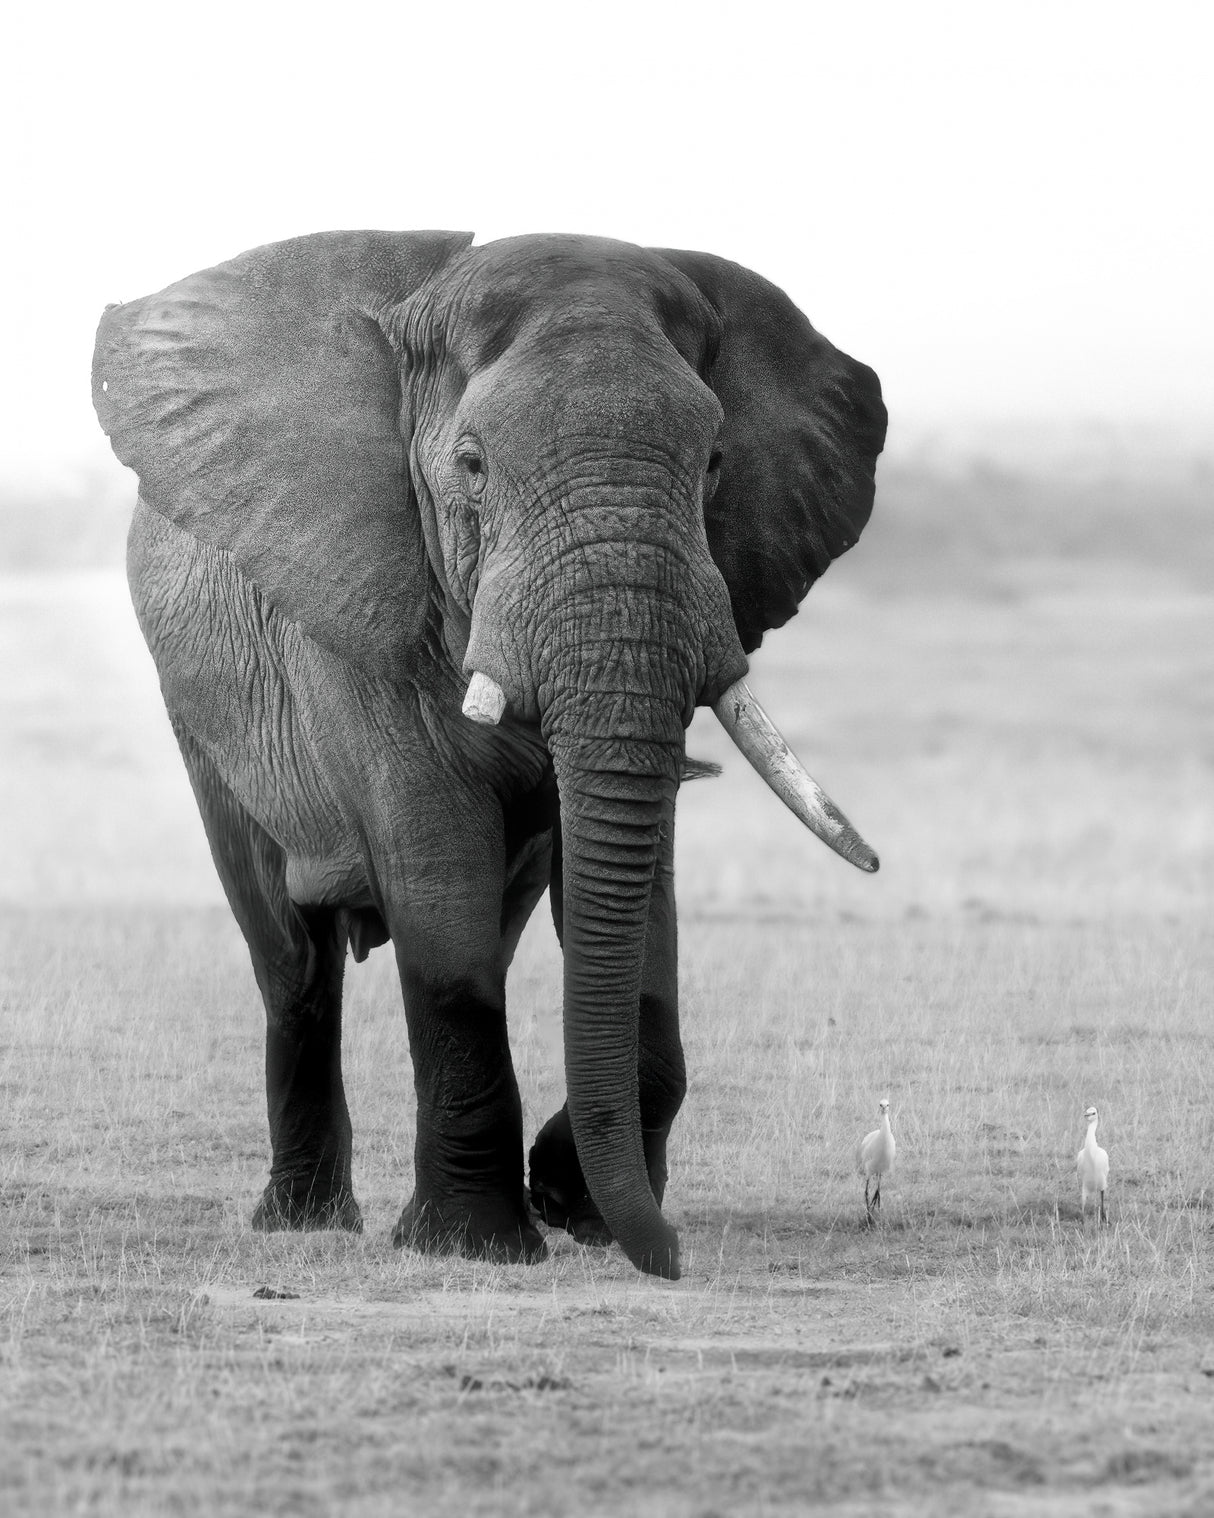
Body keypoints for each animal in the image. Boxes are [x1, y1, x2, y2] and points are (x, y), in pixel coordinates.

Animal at [92, 229, 886, 1279]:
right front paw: (476, 1245)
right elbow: (442, 886)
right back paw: (302, 1222)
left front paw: (574, 1205)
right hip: (200, 715)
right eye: (470, 465)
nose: (672, 1259)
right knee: (292, 959)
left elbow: (639, 912)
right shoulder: (361, 614)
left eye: (716, 463)